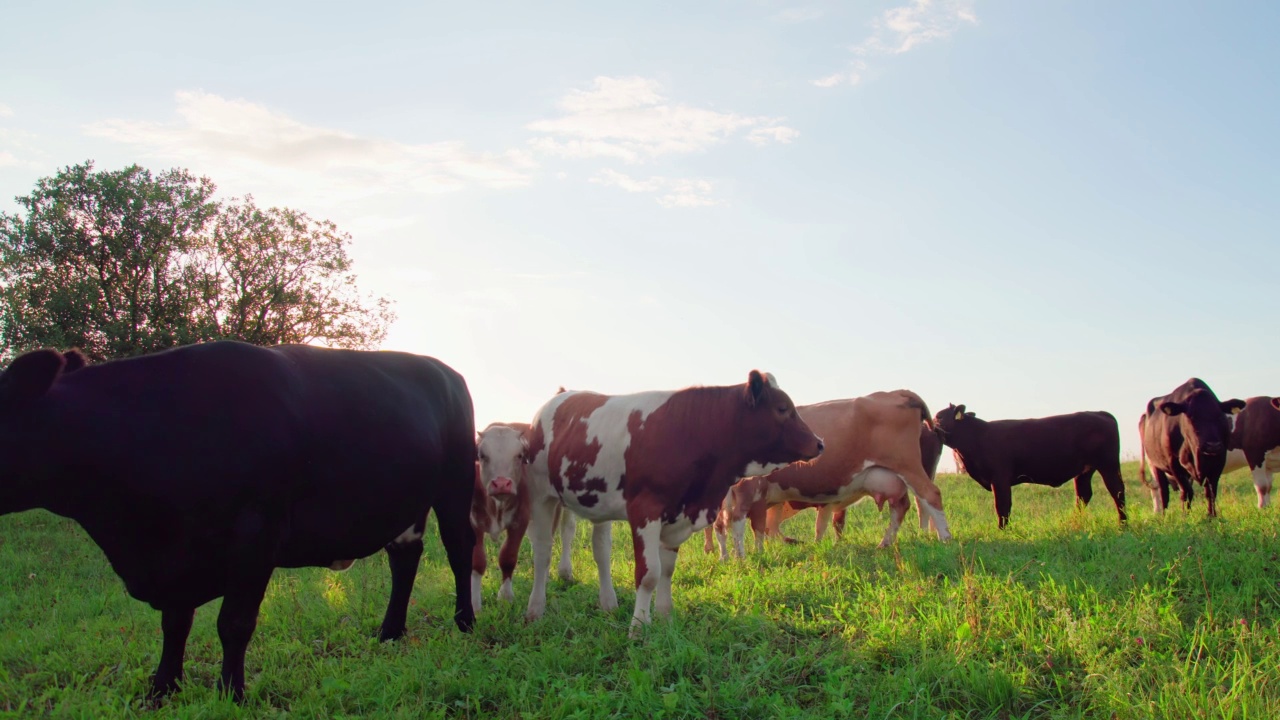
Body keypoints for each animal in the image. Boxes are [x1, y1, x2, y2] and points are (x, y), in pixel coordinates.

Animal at [0, 338, 476, 696]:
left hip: (455, 484)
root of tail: (443, 370)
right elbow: (175, 622)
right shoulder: (177, 554)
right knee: (405, 557)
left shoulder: (256, 535)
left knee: (459, 550)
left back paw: (465, 623)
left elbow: (233, 623)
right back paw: (389, 632)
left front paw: (231, 693)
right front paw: (163, 688)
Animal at [519, 368, 819, 627]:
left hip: (597, 501)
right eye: (782, 408)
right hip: (540, 494)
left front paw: (664, 618)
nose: (820, 443)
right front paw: (639, 628)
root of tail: (562, 394)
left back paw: (608, 604)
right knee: (543, 551)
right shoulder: (645, 511)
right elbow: (649, 574)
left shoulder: (678, 516)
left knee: (601, 551)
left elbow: (667, 569)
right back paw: (535, 609)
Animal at [701, 386, 952, 556]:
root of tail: (897, 393)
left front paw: (745, 556)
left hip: (907, 466)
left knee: (930, 496)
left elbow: (749, 525)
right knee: (902, 506)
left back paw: (945, 539)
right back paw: (885, 543)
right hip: (891, 476)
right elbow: (730, 525)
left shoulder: (752, 491)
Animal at [931, 404, 1131, 527]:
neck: (977, 437)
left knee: (1117, 491)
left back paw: (1123, 525)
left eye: (938, 417)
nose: (930, 425)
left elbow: (1002, 507)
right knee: (1083, 495)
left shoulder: (1000, 478)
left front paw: (1003, 531)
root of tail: (1099, 413)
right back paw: (1075, 522)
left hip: (1108, 464)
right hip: (1084, 471)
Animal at [1136, 379, 1244, 512]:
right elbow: (1186, 493)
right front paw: (1185, 515)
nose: (1212, 446)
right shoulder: (1173, 463)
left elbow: (1211, 492)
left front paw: (1211, 515)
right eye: (1191, 417)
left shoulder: (1219, 460)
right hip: (1155, 465)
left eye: (1219, 415)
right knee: (1164, 493)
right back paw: (1163, 515)